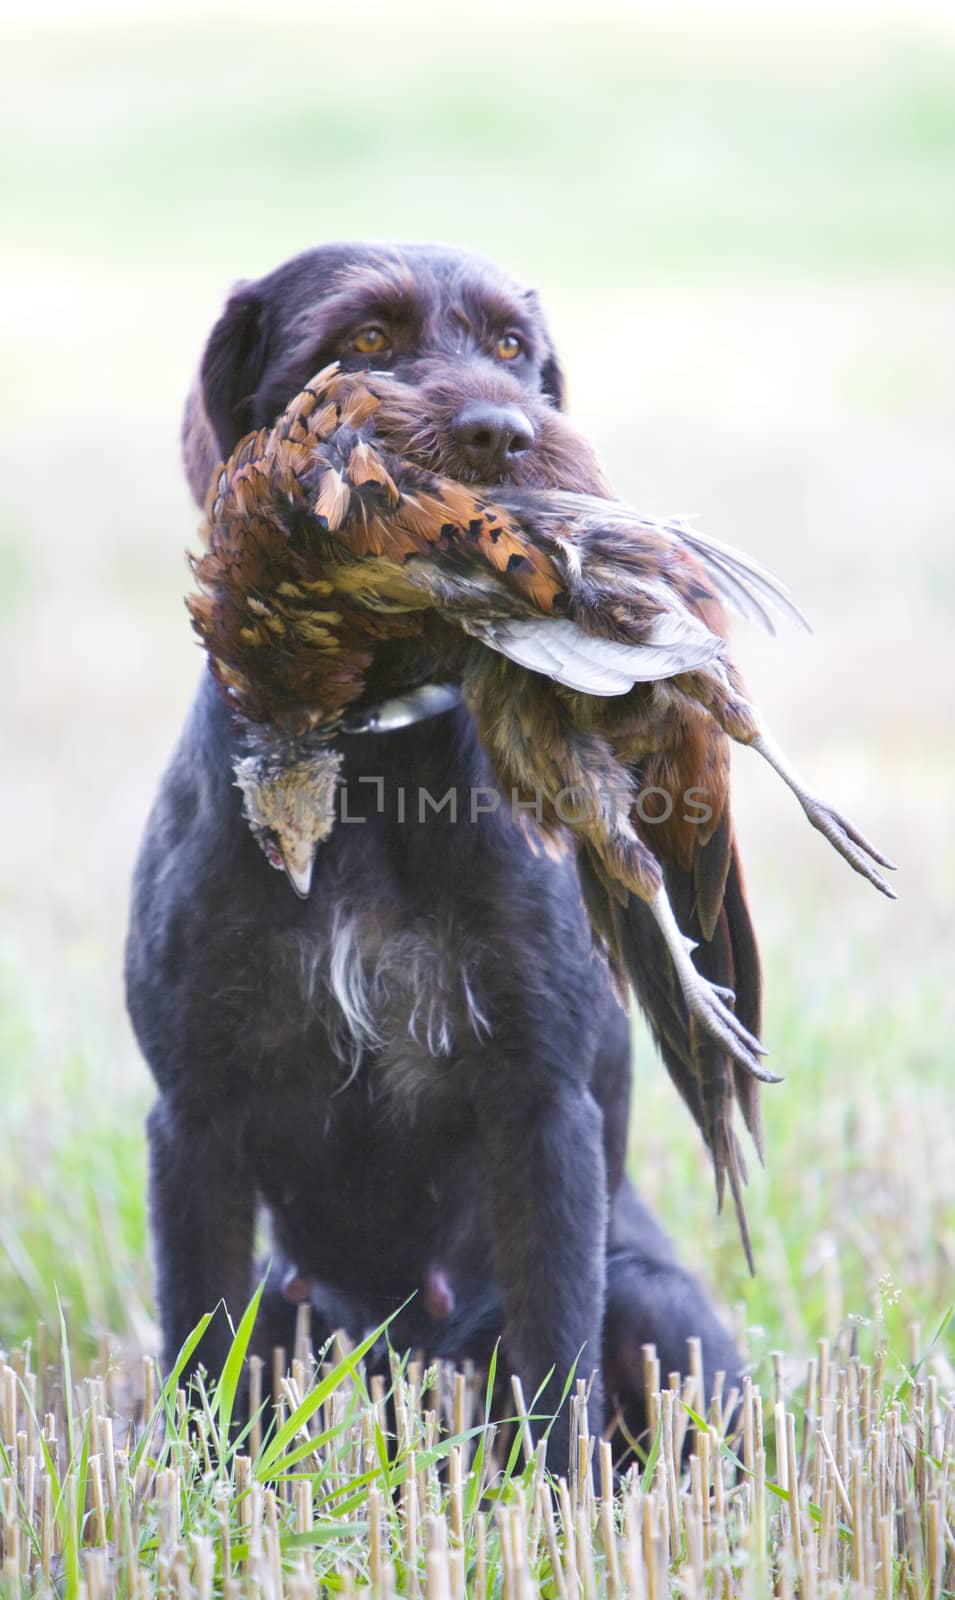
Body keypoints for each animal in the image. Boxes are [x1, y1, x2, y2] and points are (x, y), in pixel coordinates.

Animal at [126, 243, 742, 1465]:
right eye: (363, 341)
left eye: (512, 347)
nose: (501, 435)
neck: (364, 755)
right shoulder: (193, 1117)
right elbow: (199, 1346)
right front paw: (192, 1486)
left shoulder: (541, 1107)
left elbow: (556, 1358)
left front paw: (562, 1500)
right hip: (296, 1301)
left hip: (656, 1299)